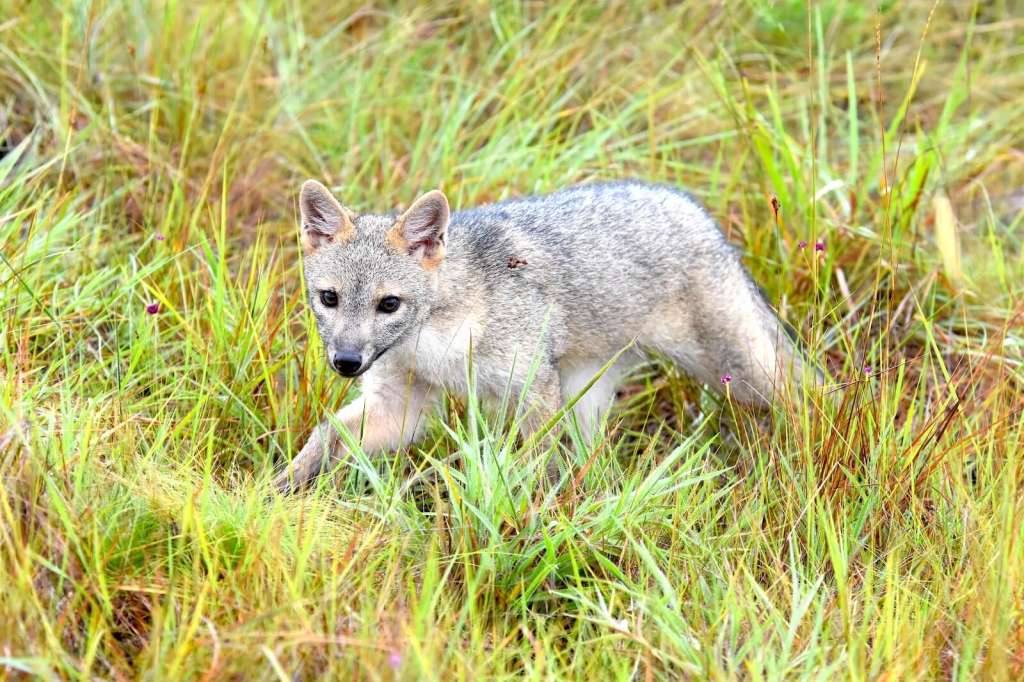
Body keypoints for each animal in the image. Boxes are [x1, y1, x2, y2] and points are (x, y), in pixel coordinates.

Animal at [273, 180, 811, 493]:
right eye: (329, 298)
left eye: (389, 304)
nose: (346, 362)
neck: (435, 337)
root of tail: (697, 212)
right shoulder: (400, 407)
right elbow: (325, 435)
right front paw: (278, 491)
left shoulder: (534, 394)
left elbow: (523, 467)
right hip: (585, 397)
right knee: (593, 462)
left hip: (744, 375)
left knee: (807, 398)